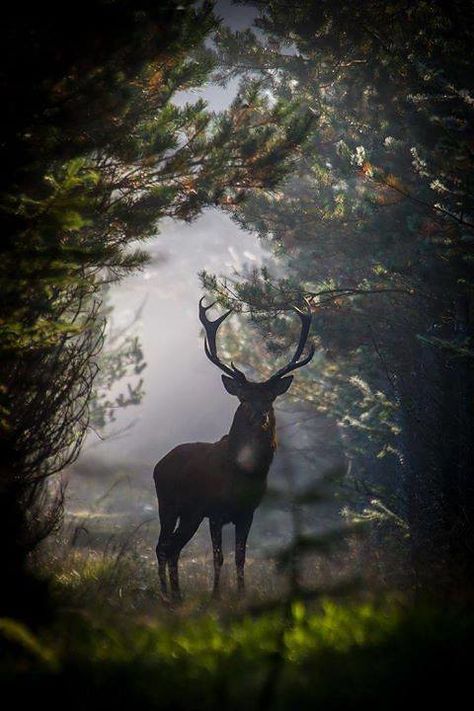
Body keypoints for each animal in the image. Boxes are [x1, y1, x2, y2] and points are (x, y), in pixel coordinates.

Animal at [153, 294, 314, 600]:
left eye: (269, 399)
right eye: (244, 399)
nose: (260, 416)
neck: (244, 473)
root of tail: (159, 463)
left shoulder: (247, 513)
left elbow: (240, 556)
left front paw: (241, 593)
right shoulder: (214, 511)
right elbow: (219, 557)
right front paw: (216, 595)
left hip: (189, 513)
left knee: (171, 547)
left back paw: (176, 595)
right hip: (168, 503)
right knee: (163, 547)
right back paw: (167, 595)